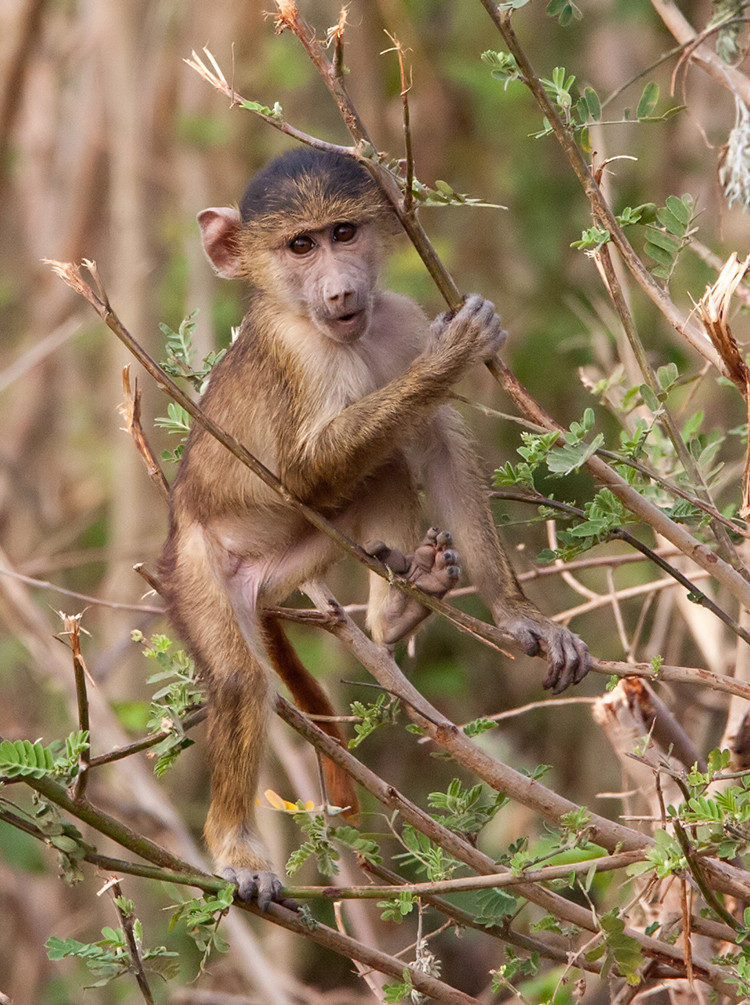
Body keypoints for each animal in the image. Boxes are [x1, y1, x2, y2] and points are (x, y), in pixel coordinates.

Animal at [158, 147, 590, 909]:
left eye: (344, 233)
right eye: (299, 246)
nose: (339, 293)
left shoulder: (400, 318)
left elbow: (438, 446)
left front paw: (519, 614)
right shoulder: (300, 352)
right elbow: (304, 474)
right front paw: (455, 352)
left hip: (291, 560)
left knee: (386, 461)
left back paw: (395, 611)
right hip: (196, 567)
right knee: (239, 679)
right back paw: (233, 846)